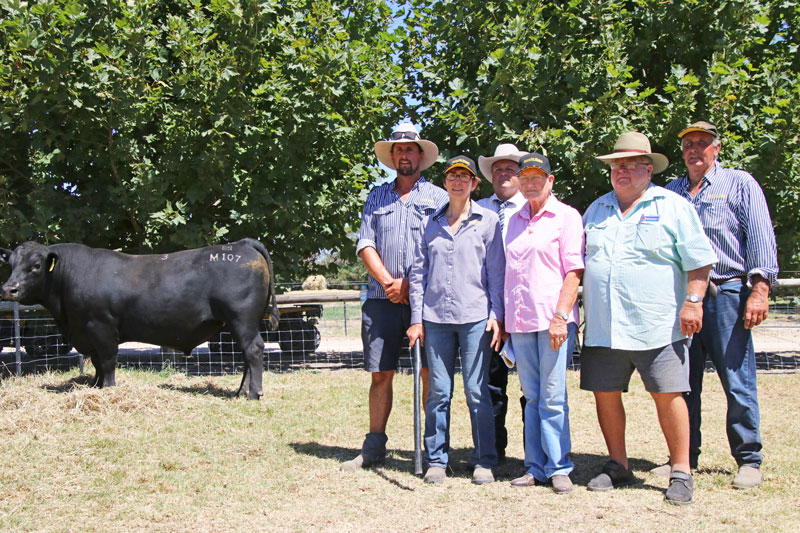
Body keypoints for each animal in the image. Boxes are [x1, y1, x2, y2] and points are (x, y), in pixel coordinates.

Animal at [0, 239, 280, 396]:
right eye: (10, 265)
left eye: (36, 265)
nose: (9, 289)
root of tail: (242, 244)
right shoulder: (88, 334)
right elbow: (96, 364)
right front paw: (95, 386)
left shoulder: (101, 328)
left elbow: (107, 361)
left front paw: (108, 389)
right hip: (240, 323)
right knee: (246, 355)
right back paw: (240, 391)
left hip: (242, 319)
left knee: (254, 351)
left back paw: (253, 393)